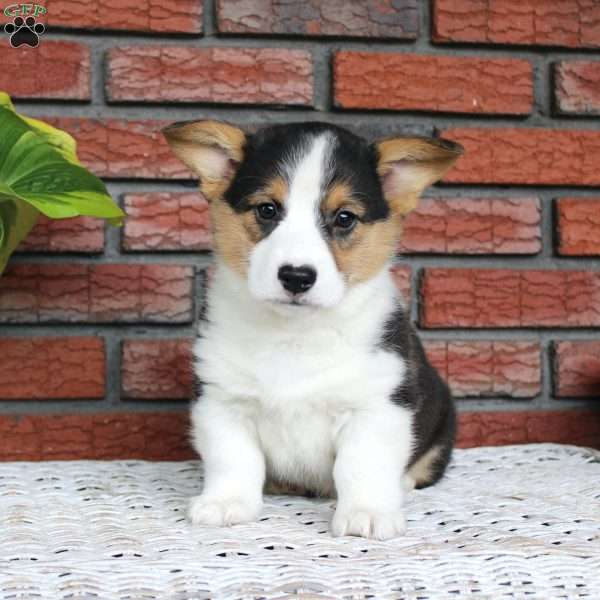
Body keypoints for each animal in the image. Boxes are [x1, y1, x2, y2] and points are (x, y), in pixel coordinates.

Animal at [164, 120, 464, 540]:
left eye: (344, 217)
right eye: (267, 209)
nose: (296, 277)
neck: (294, 332)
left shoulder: (376, 408)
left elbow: (361, 464)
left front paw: (367, 514)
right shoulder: (221, 403)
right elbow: (233, 459)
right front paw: (224, 504)